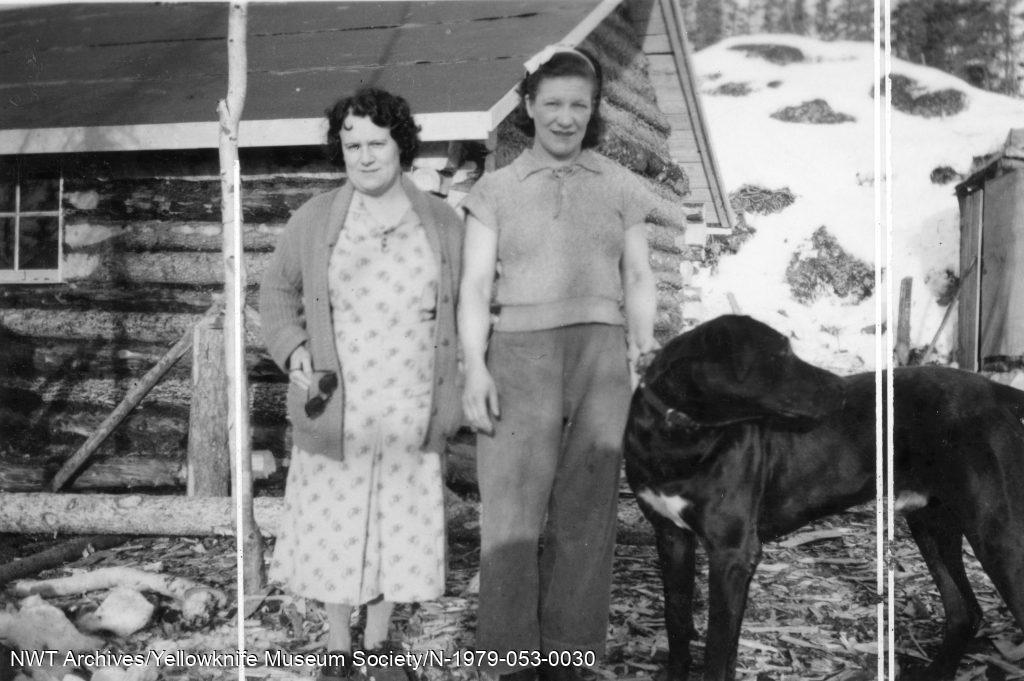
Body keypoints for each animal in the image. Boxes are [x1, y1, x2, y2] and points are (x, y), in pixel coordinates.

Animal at [618, 315, 1024, 679]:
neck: (679, 433)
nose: (840, 388)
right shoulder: (671, 536)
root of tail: (999, 392)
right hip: (932, 522)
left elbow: (718, 650)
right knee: (964, 611)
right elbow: (677, 622)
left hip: (996, 533)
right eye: (779, 355)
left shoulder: (732, 552)